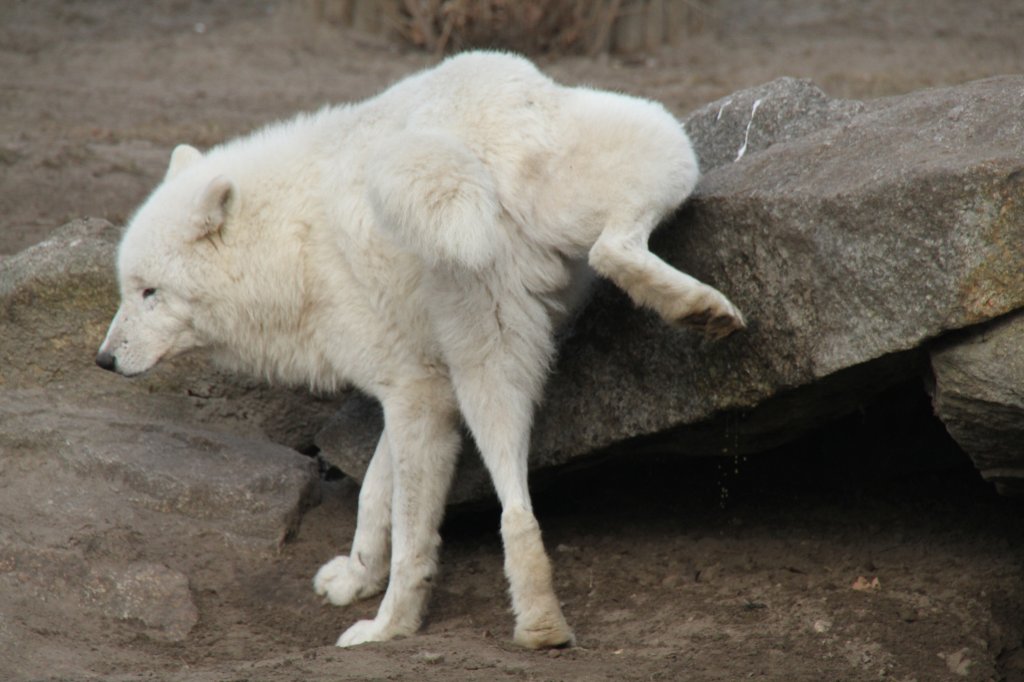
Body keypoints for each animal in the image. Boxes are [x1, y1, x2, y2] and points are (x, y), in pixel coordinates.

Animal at [96, 50, 745, 647]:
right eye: (129, 289)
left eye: (150, 292)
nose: (104, 360)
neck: (288, 244)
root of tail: (469, 156)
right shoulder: (420, 390)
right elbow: (374, 495)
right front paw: (356, 576)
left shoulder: (413, 395)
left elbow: (403, 525)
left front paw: (385, 608)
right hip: (502, 341)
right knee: (518, 490)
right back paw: (539, 621)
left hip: (663, 144)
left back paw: (388, 631)